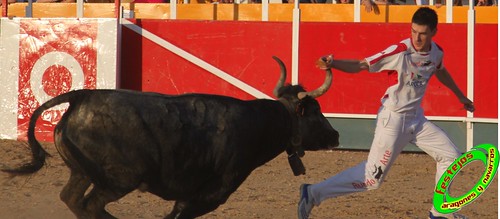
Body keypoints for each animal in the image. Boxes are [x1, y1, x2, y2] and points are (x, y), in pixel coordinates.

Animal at [1, 57, 340, 219]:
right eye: (315, 111)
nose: (336, 134)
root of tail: (81, 97)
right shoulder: (207, 195)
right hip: (120, 179)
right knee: (91, 204)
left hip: (82, 173)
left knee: (72, 199)